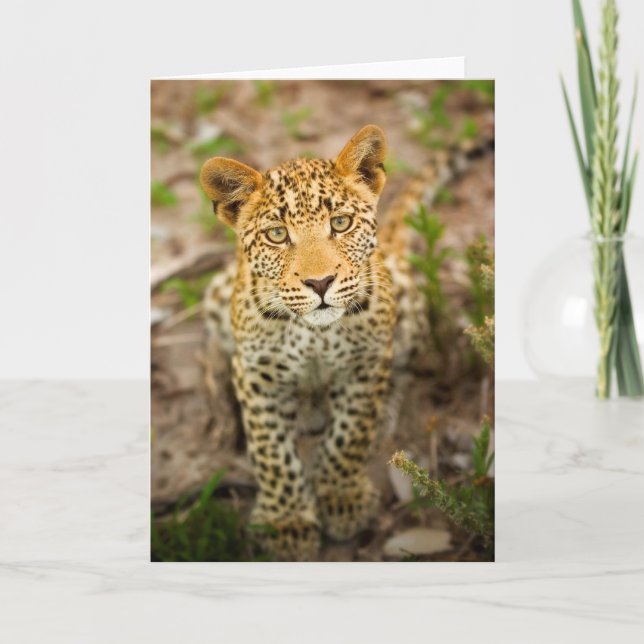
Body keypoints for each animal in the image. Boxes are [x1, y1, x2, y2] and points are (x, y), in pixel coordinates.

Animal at [199, 125, 490, 560]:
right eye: (277, 234)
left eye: (340, 222)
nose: (320, 283)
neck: (314, 334)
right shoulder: (256, 373)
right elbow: (272, 453)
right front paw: (287, 521)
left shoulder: (365, 365)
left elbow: (348, 436)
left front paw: (342, 499)